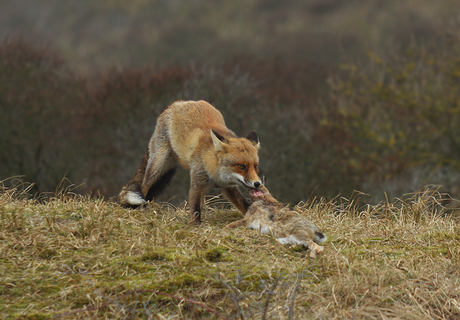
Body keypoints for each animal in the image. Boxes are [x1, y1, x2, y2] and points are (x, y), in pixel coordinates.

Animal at [118, 101, 262, 224]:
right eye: (241, 166)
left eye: (256, 167)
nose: (258, 183)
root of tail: (176, 104)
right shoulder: (197, 182)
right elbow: (195, 210)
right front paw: (196, 227)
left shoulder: (227, 186)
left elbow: (244, 204)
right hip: (158, 164)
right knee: (144, 186)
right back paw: (142, 209)